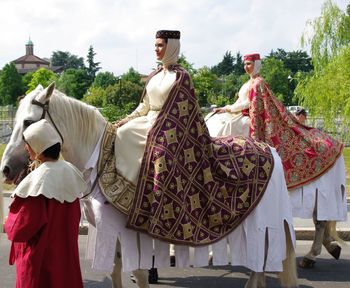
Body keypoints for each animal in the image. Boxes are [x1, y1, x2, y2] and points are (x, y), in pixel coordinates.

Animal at [2, 82, 298, 288]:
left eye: (28, 122)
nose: (6, 168)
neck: (100, 160)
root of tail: (270, 149)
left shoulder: (126, 234)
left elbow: (139, 273)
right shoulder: (109, 233)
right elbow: (115, 272)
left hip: (263, 225)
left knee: (263, 263)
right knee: (260, 267)